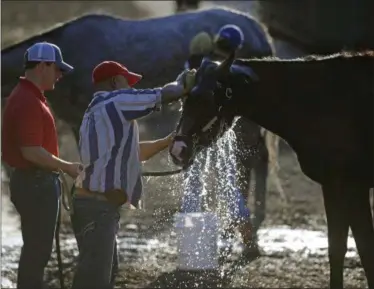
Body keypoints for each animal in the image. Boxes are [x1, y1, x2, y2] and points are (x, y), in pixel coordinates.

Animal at [171, 50, 374, 286]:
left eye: (208, 98)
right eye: (186, 98)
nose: (177, 149)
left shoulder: (353, 186)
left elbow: (365, 250)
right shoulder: (334, 186)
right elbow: (337, 249)